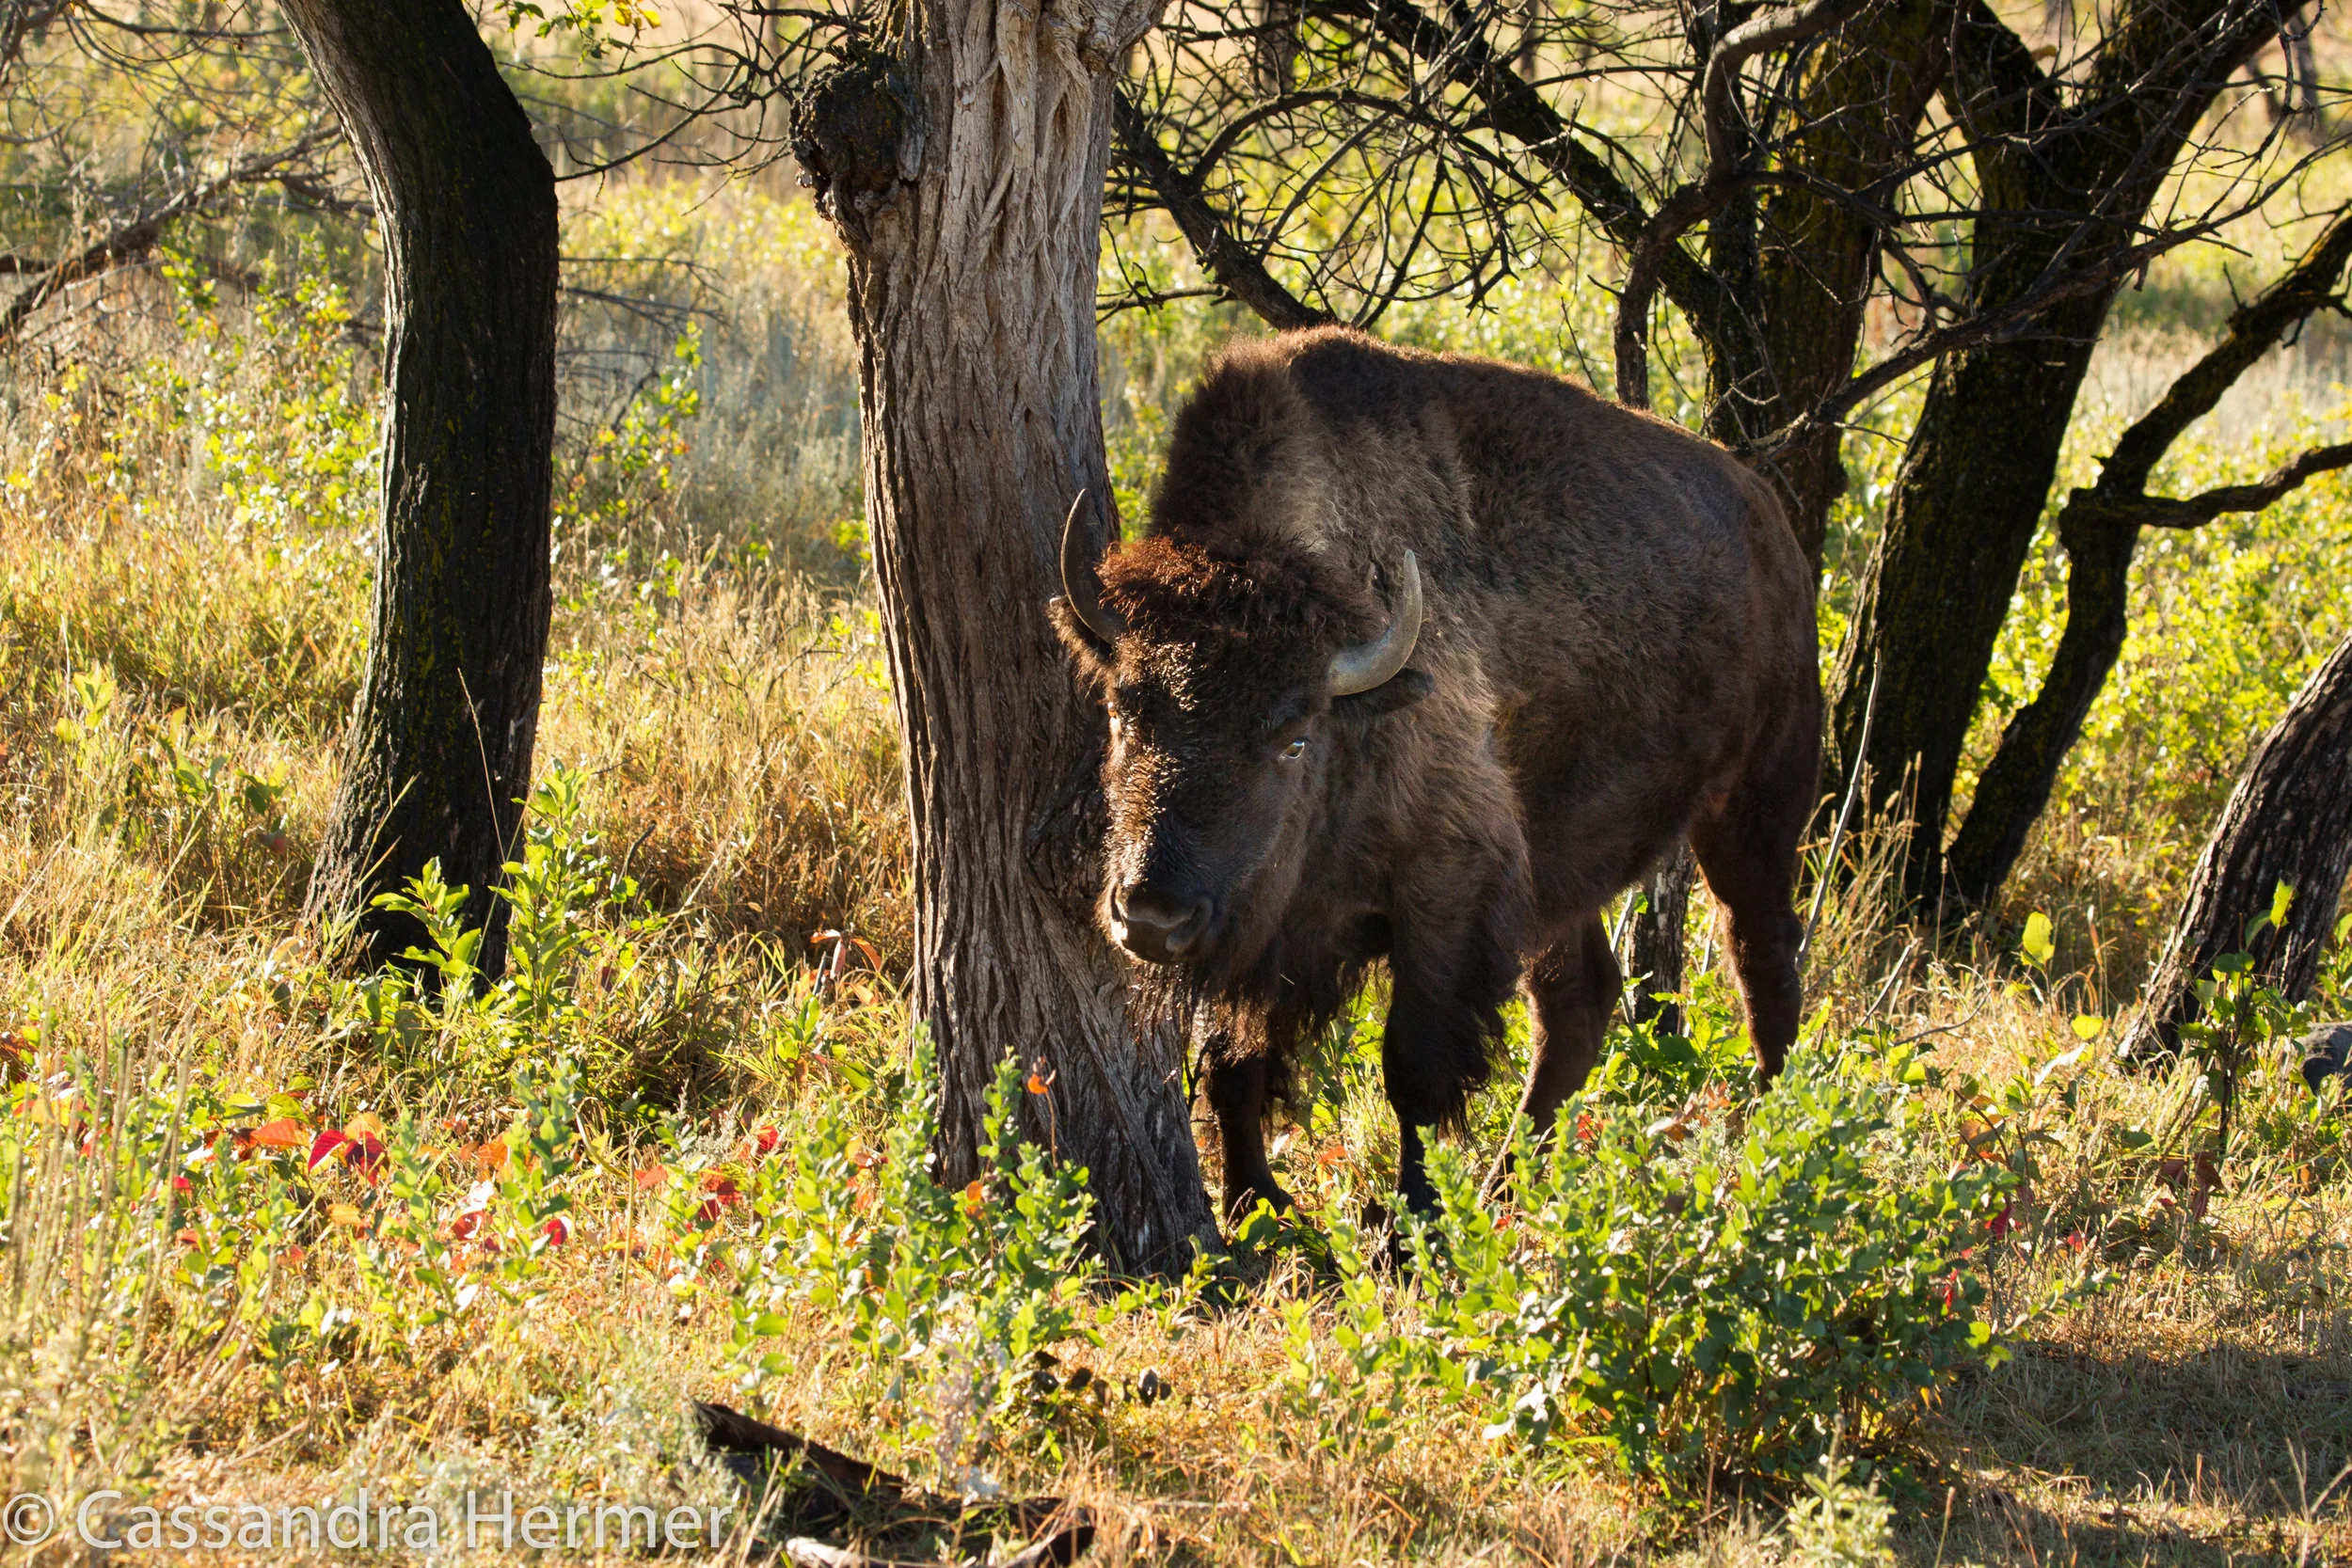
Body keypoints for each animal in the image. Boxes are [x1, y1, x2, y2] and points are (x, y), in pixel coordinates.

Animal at [1050, 327, 1819, 1219]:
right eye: (1120, 709)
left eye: (1294, 739)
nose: (1151, 918)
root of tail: (1774, 526)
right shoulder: (1265, 927)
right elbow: (1231, 1061)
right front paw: (1257, 1210)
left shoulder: (1448, 893)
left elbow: (1410, 1075)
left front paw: (1411, 1224)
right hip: (1560, 864)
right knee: (1579, 1002)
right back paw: (1505, 1181)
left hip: (1754, 806)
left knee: (1760, 956)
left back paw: (1768, 1141)